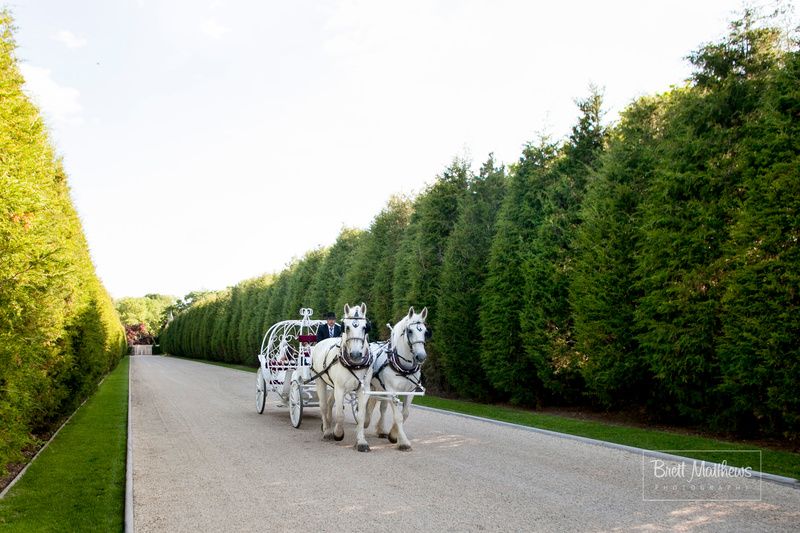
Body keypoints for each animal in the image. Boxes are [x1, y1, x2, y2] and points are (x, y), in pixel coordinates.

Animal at [312, 302, 376, 450]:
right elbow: (340, 414)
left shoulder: (363, 390)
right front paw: (338, 433)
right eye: (346, 327)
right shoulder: (340, 388)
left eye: (365, 327)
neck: (355, 364)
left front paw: (361, 441)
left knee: (330, 403)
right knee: (324, 405)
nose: (356, 354)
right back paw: (327, 431)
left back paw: (327, 424)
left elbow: (361, 415)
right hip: (320, 381)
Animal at [364, 308, 428, 448]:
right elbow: (398, 416)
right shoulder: (392, 391)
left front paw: (393, 435)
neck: (404, 367)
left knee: (381, 407)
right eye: (410, 331)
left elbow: (405, 414)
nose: (421, 356)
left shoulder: (410, 392)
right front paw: (403, 442)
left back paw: (381, 430)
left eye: (426, 332)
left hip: (380, 387)